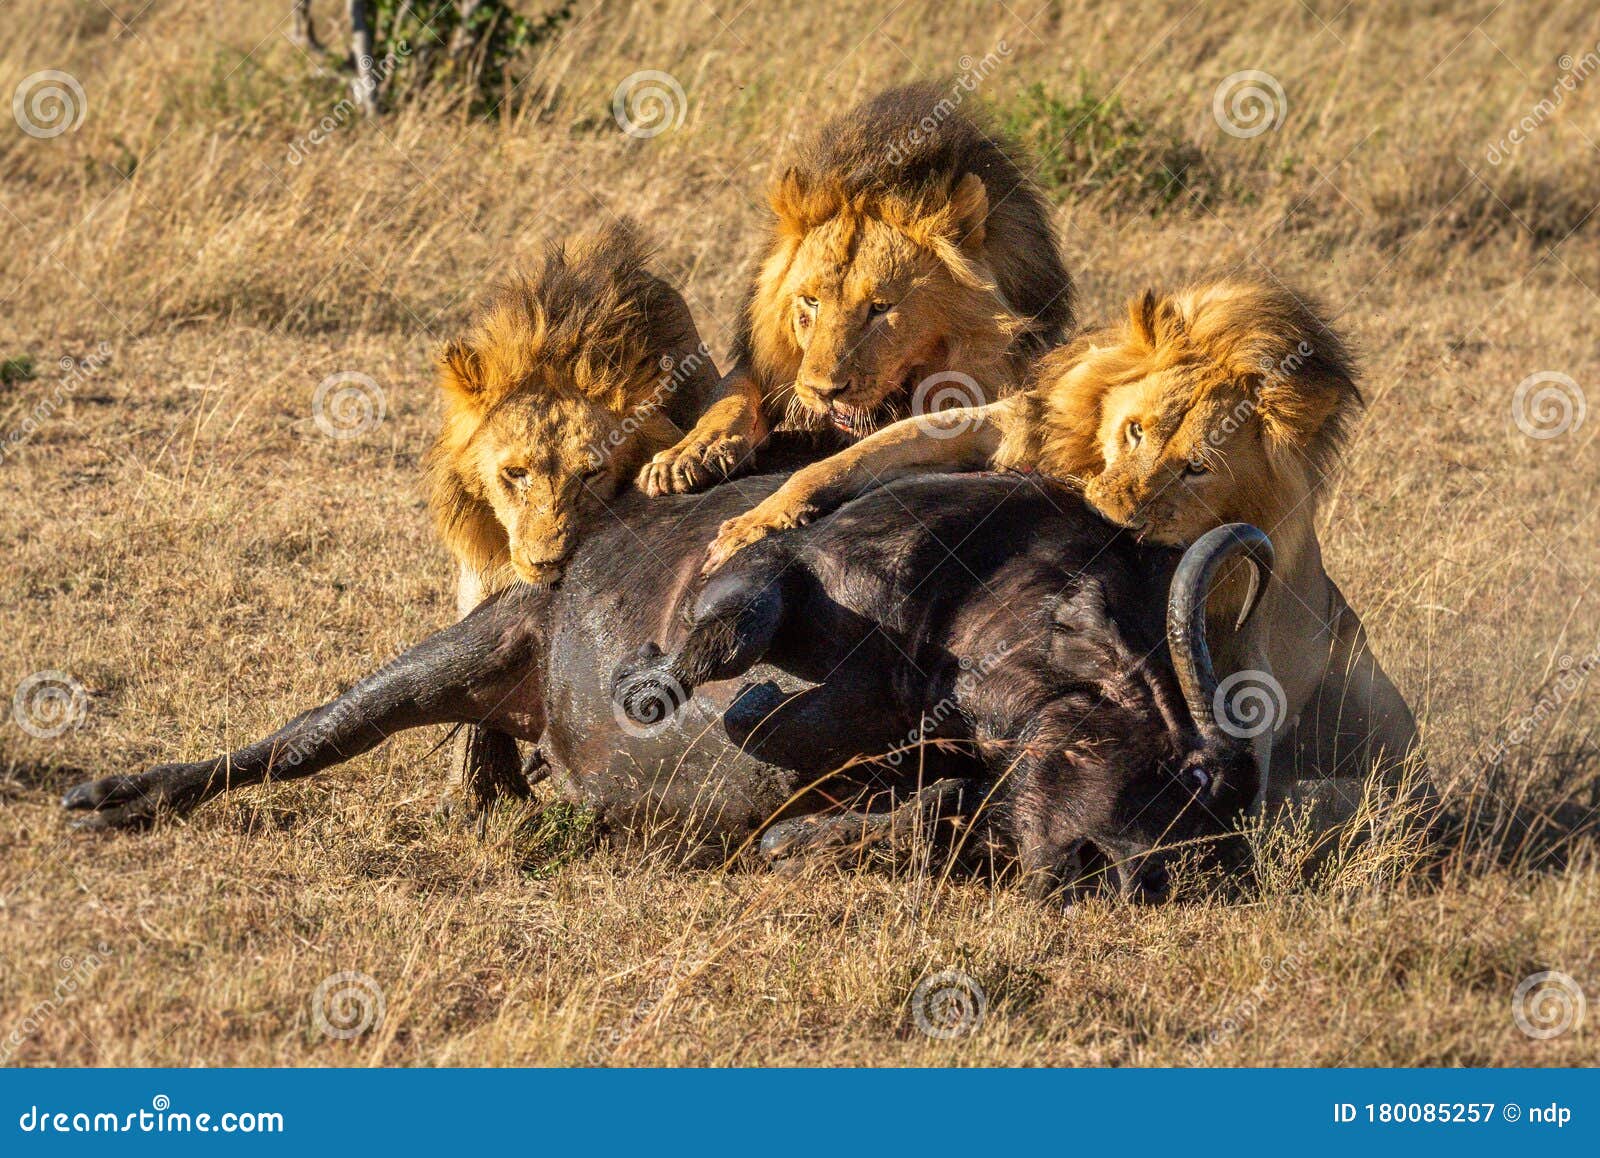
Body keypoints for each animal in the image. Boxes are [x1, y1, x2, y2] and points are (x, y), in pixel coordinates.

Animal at [62, 467, 1273, 895]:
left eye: (1209, 820)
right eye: (1187, 776)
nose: (1126, 874)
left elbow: (907, 818)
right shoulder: (792, 564)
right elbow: (730, 629)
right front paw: (656, 688)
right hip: (466, 649)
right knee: (303, 735)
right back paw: (113, 795)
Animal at [713, 276, 1427, 809]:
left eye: (1196, 468)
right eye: (1135, 430)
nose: (1115, 513)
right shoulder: (1005, 424)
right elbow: (862, 453)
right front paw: (749, 527)